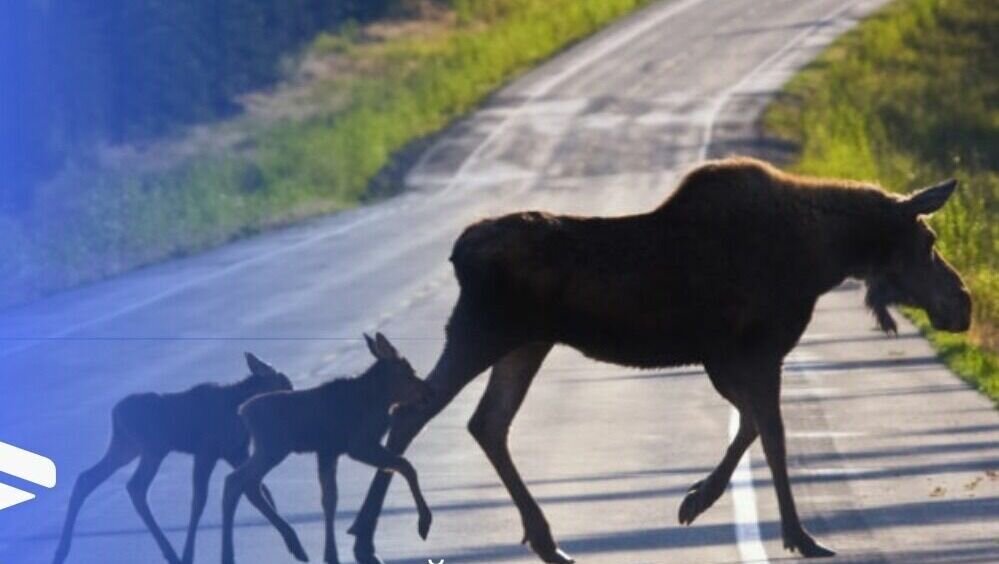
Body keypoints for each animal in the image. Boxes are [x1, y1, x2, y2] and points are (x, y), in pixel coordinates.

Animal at [53, 354, 304, 560]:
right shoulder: (207, 451)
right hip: (153, 448)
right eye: (286, 384)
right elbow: (200, 500)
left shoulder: (235, 451)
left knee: (87, 478)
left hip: (126, 448)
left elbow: (257, 489)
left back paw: (62, 550)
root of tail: (115, 413)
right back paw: (172, 553)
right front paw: (188, 555)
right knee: (135, 486)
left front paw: (292, 542)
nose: (294, 398)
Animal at [221, 332, 432, 564]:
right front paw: (424, 522)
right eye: (409, 372)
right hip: (273, 446)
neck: (380, 399)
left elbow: (330, 499)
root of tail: (243, 411)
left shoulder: (329, 450)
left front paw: (330, 554)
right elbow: (405, 466)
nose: (428, 391)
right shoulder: (358, 443)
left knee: (247, 484)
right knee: (236, 481)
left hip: (270, 448)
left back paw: (293, 546)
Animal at [350, 156, 968, 560]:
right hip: (482, 333)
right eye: (929, 241)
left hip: (525, 344)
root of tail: (457, 253)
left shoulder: (730, 358)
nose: (962, 303)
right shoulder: (748, 351)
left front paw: (697, 499)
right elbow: (771, 434)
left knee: (485, 423)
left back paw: (545, 541)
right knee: (414, 412)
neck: (825, 258)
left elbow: (753, 427)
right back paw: (364, 537)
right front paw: (798, 535)